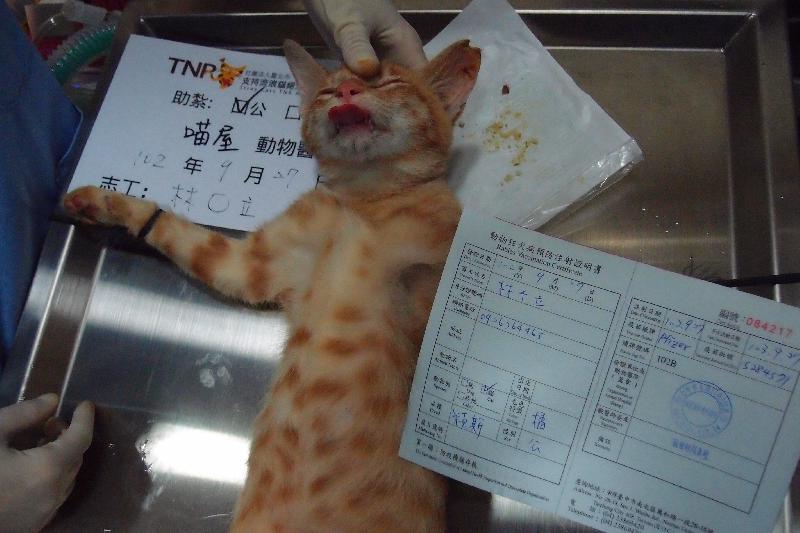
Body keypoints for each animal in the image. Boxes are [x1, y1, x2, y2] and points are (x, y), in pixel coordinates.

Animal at [63, 38, 480, 532]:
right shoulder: (251, 264)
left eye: (388, 81)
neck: (366, 200)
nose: (348, 91)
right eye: (328, 90)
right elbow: (175, 231)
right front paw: (102, 202)